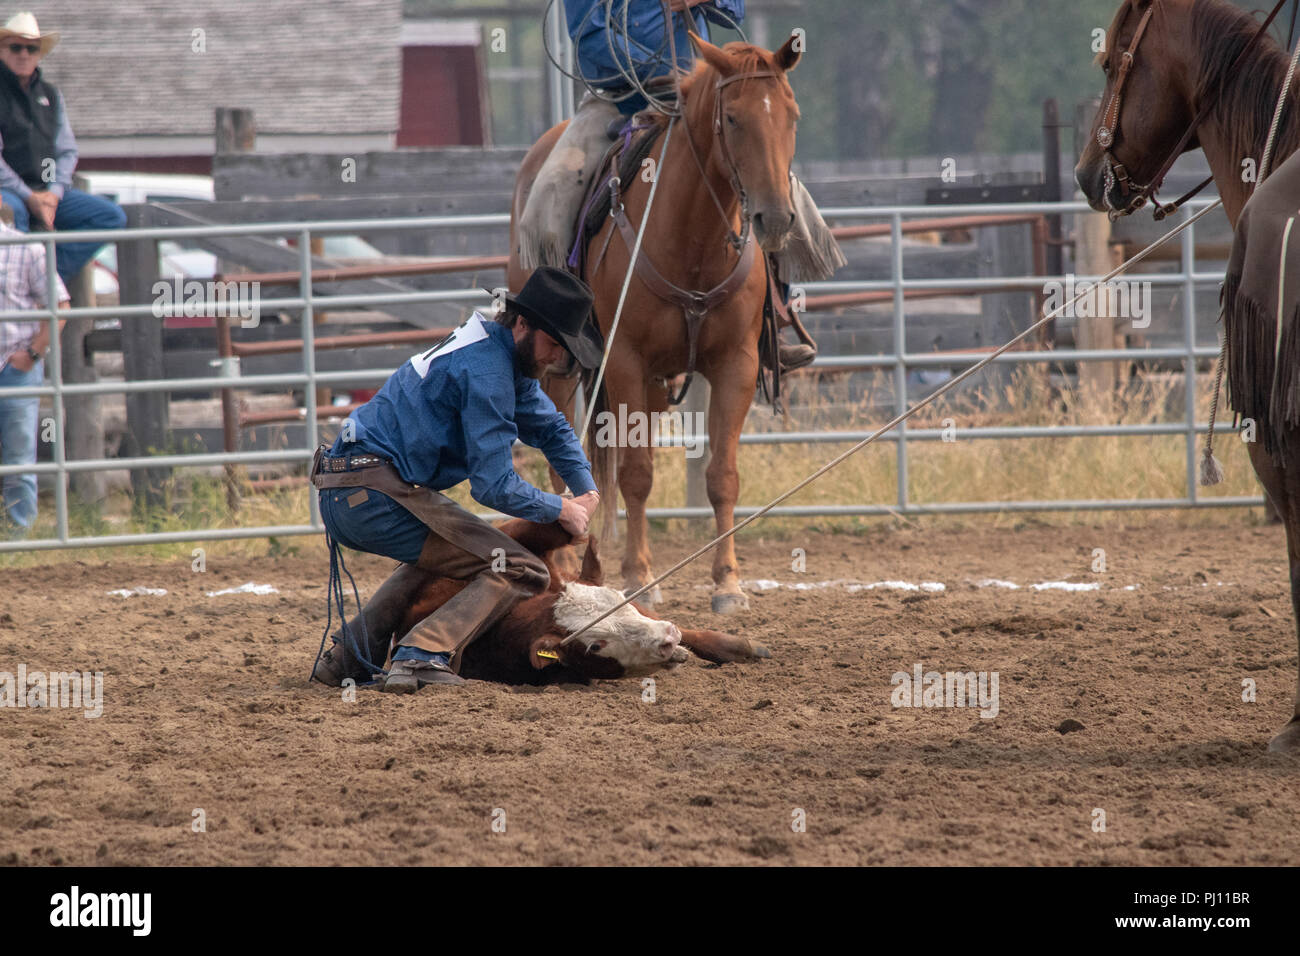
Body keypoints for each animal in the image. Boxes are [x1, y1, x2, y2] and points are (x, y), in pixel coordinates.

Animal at [504, 33, 800, 616]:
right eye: (733, 119)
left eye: (792, 116)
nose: (775, 218)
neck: (693, 240)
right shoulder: (624, 361)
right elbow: (637, 475)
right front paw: (639, 577)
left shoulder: (735, 363)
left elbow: (722, 476)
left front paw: (728, 584)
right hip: (557, 368)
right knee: (562, 454)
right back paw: (565, 558)